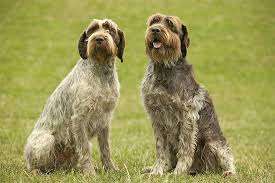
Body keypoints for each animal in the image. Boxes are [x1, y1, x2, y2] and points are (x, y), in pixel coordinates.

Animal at [24, 18, 126, 174]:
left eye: (110, 29)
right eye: (92, 30)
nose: (98, 38)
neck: (101, 72)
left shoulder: (105, 120)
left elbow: (105, 148)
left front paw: (110, 169)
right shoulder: (79, 119)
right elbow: (85, 149)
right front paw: (89, 173)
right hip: (46, 141)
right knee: (33, 166)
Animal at [141, 12, 236, 176]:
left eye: (170, 23)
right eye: (154, 21)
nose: (155, 30)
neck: (164, 68)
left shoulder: (187, 116)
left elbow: (185, 147)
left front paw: (179, 171)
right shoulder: (156, 116)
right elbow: (161, 149)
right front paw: (157, 171)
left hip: (214, 144)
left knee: (228, 159)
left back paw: (228, 172)